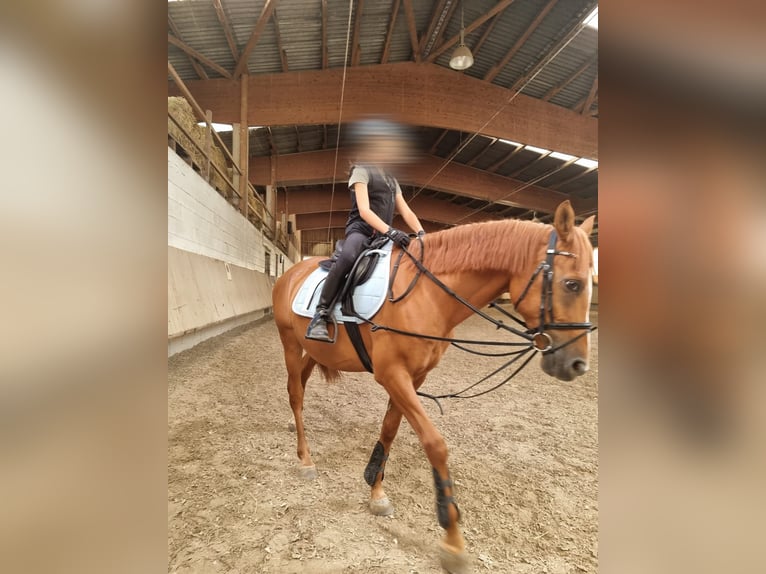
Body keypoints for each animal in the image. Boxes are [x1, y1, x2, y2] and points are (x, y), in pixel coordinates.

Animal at [272, 200, 596, 573]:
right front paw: (453, 540)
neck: (426, 294)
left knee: (299, 387)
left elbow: (389, 430)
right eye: (572, 284)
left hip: (312, 351)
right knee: (295, 395)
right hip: (290, 345)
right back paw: (305, 460)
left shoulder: (413, 377)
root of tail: (291, 272)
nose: (577, 365)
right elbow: (435, 444)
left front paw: (376, 492)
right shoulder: (392, 375)